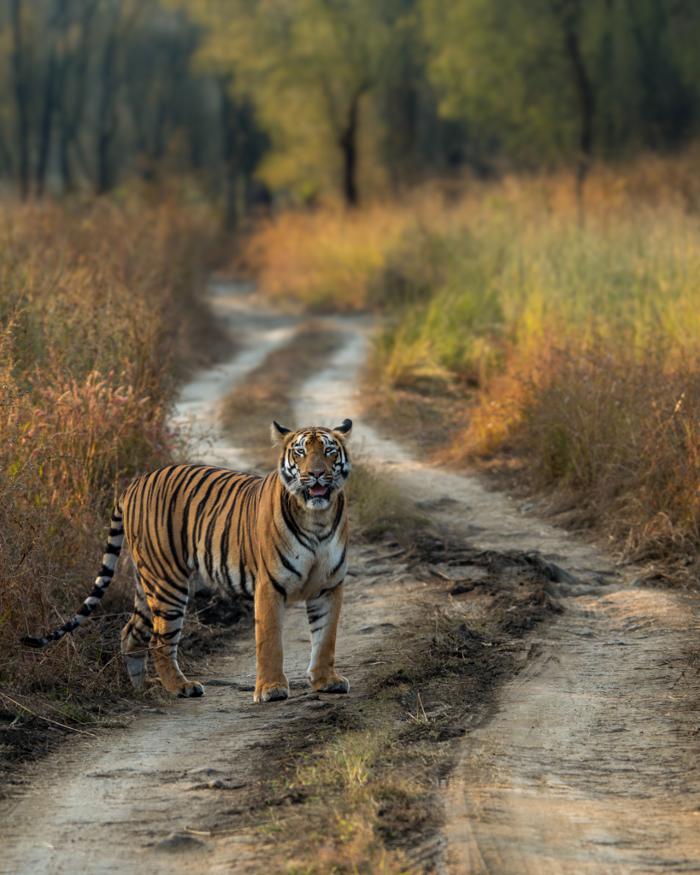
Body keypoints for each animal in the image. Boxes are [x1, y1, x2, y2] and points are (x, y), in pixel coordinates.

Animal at [23, 419, 353, 703]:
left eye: (329, 451)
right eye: (300, 452)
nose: (317, 474)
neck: (317, 518)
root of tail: (134, 484)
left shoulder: (329, 586)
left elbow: (326, 638)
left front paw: (326, 681)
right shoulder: (270, 586)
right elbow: (270, 641)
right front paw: (271, 689)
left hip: (147, 582)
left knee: (131, 633)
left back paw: (140, 689)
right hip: (168, 583)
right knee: (159, 641)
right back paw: (180, 687)